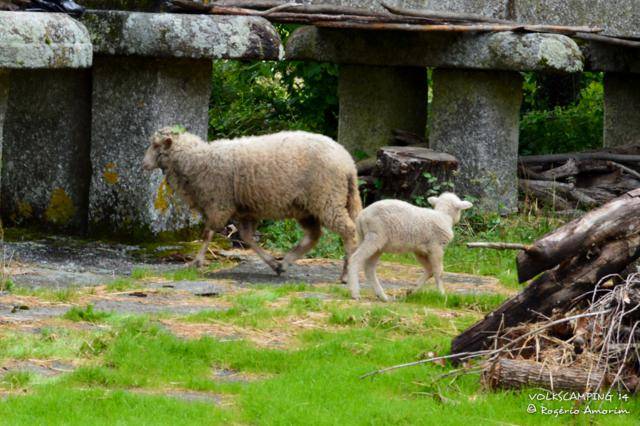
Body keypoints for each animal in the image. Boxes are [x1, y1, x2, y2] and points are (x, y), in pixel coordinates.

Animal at [143, 127, 362, 280]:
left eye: (155, 146)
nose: (143, 164)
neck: (195, 160)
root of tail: (348, 162)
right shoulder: (245, 211)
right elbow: (247, 238)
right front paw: (273, 263)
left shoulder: (219, 203)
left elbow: (207, 234)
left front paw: (195, 263)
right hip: (307, 206)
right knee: (314, 235)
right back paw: (285, 262)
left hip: (327, 199)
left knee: (349, 230)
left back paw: (345, 274)